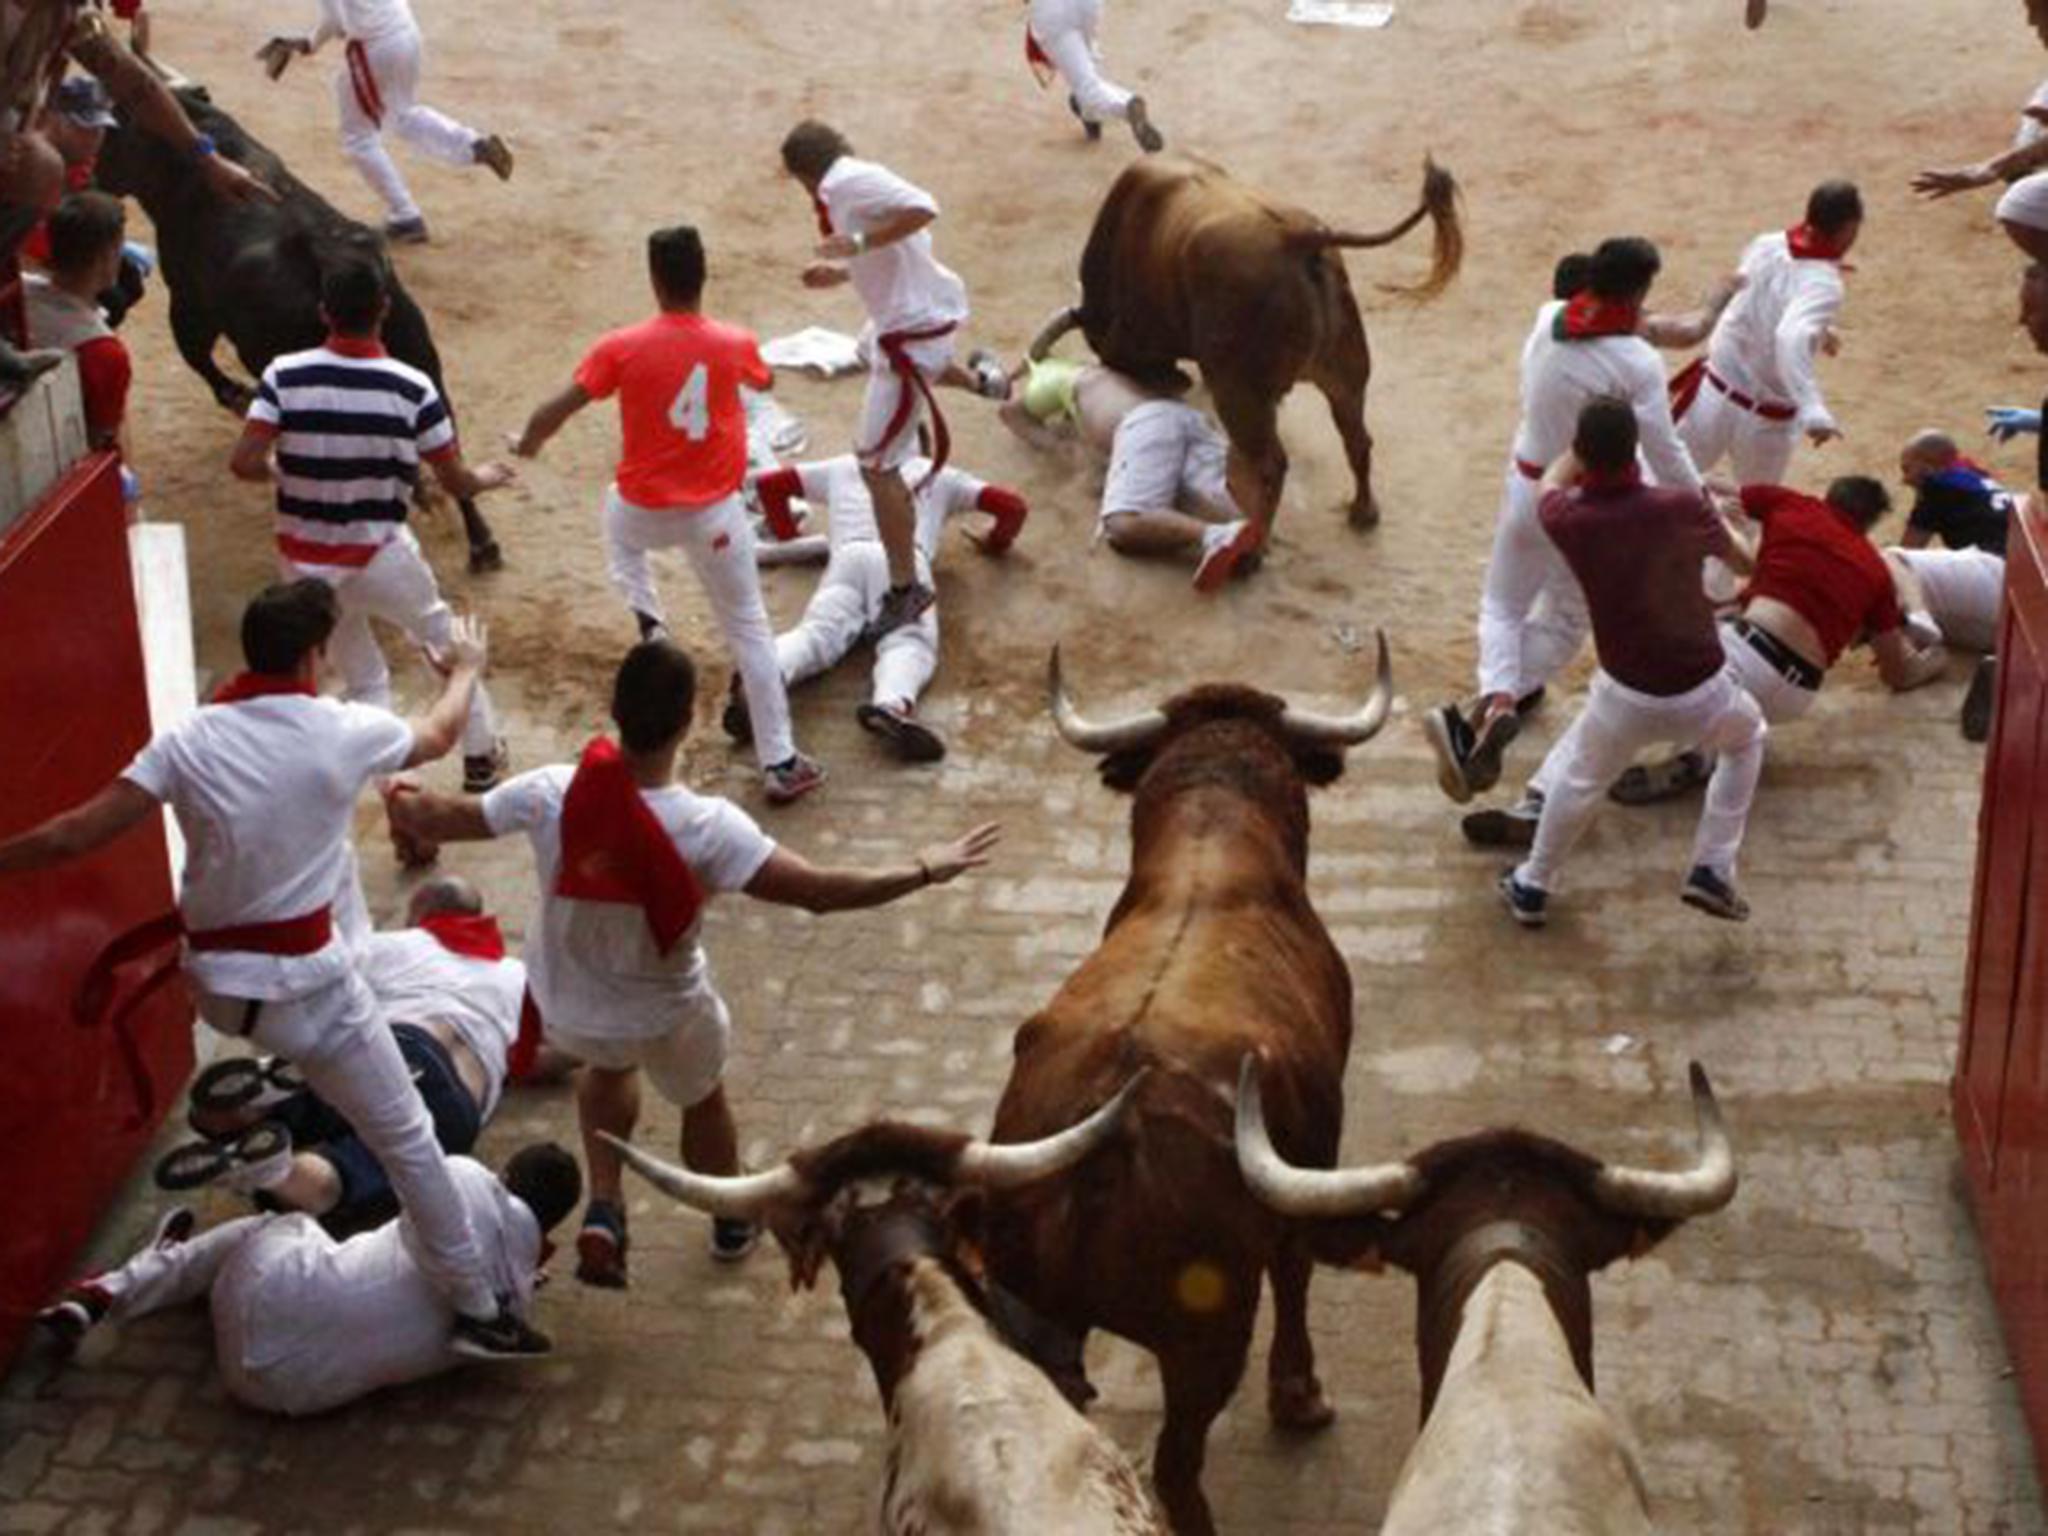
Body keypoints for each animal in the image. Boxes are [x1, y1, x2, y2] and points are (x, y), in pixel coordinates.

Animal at [983, 638, 1400, 1536]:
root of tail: (1102, 1142)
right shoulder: (1305, 1174)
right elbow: (1297, 1272)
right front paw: (1300, 1395)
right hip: (1204, 1339)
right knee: (1178, 1462)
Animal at [1073, 151, 1458, 536]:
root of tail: (1299, 238)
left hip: (1239, 393)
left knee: (1271, 465)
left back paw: (1252, 541)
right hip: (1347, 373)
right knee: (1357, 439)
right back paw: (1363, 513)